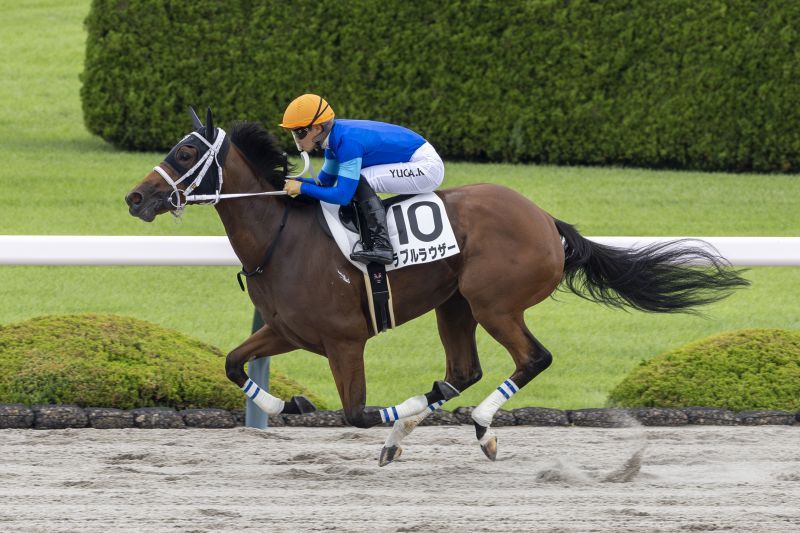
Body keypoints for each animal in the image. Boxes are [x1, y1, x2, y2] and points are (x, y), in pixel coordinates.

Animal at [125, 108, 748, 465]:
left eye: (185, 151)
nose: (135, 197)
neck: (281, 237)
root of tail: (546, 220)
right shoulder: (287, 330)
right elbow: (233, 364)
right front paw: (289, 402)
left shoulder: (345, 340)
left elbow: (355, 413)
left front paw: (375, 425)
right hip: (455, 305)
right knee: (461, 372)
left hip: (494, 303)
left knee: (532, 358)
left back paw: (480, 427)